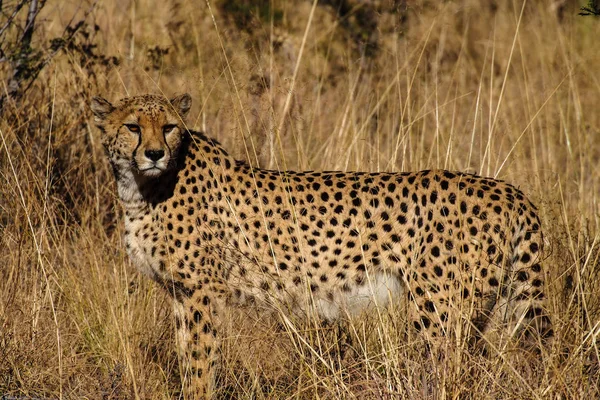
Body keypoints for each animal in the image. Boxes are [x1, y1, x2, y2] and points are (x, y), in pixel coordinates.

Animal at [91, 93, 552, 396]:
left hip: (441, 308)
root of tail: (510, 190)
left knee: (453, 369)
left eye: (169, 127)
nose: (154, 153)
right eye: (132, 127)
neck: (141, 189)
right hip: (492, 304)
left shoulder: (203, 292)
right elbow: (189, 357)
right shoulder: (181, 293)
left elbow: (202, 363)